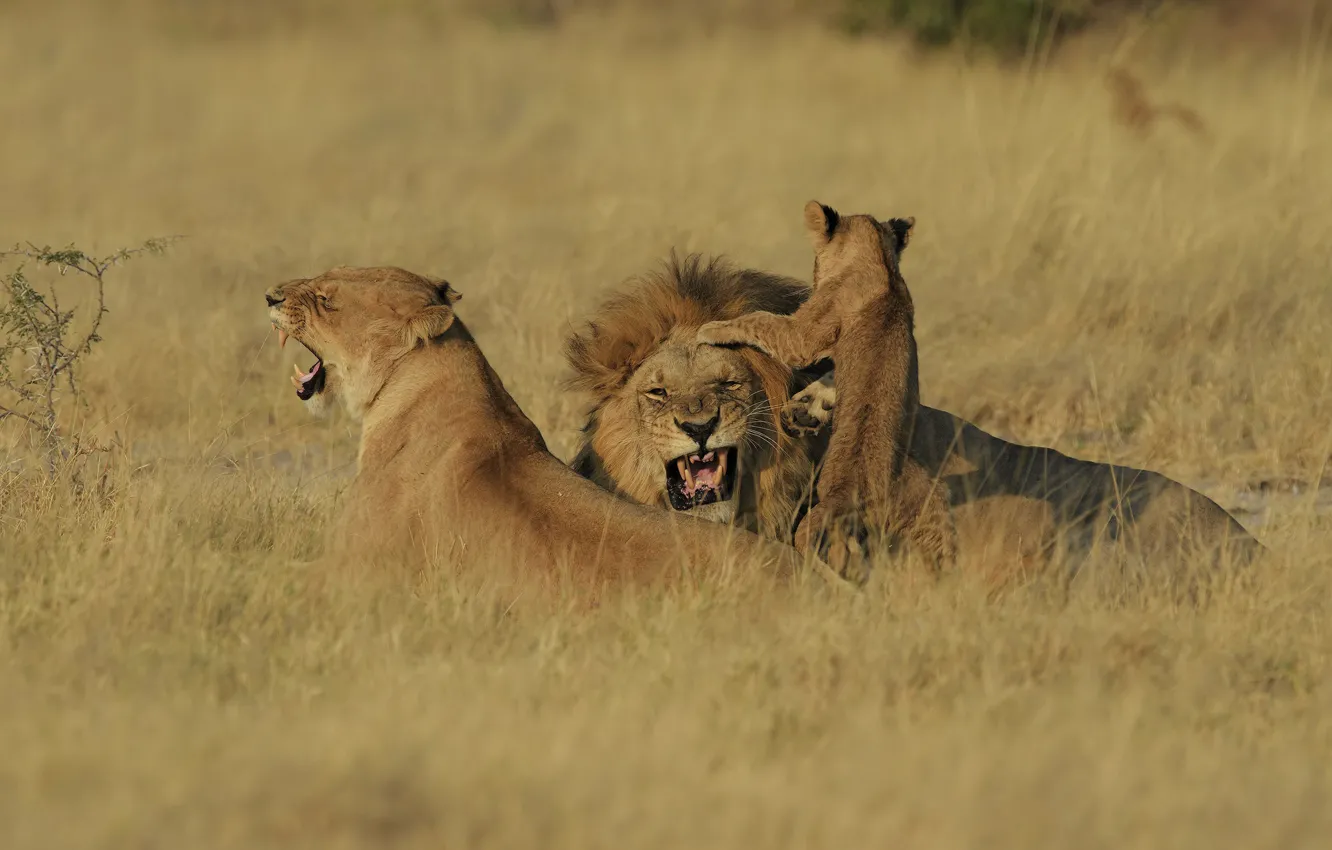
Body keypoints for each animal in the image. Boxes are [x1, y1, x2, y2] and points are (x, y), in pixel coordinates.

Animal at [695, 201, 958, 574]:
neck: (880, 262)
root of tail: (861, 500)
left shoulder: (803, 336)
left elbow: (760, 321)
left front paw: (712, 328)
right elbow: (831, 378)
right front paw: (808, 405)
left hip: (816, 516)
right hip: (931, 503)